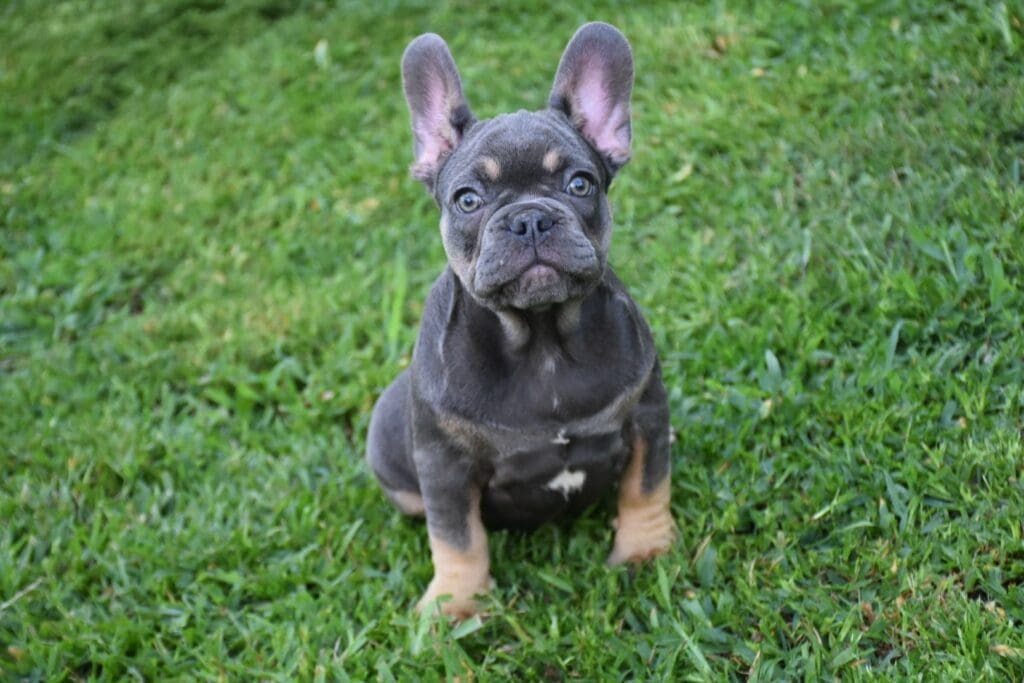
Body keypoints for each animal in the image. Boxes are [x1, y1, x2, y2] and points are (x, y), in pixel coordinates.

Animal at [366, 22, 671, 618]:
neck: (542, 340)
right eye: (466, 200)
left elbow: (646, 486)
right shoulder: (445, 465)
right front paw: (455, 605)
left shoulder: (646, 416)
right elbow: (456, 536)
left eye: (580, 184)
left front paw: (646, 550)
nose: (529, 218)